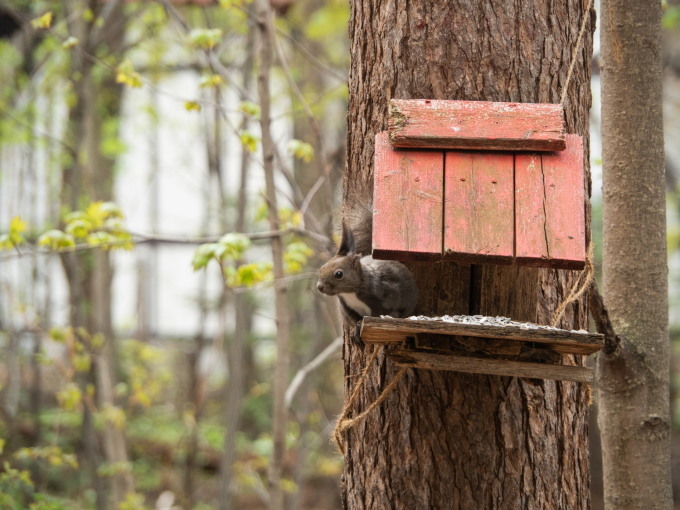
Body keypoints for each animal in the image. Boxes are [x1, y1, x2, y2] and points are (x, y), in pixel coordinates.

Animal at [314, 205, 420, 344]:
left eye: (339, 274)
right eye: (322, 268)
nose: (319, 287)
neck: (351, 293)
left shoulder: (386, 294)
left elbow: (379, 313)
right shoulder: (347, 307)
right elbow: (354, 319)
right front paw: (356, 330)